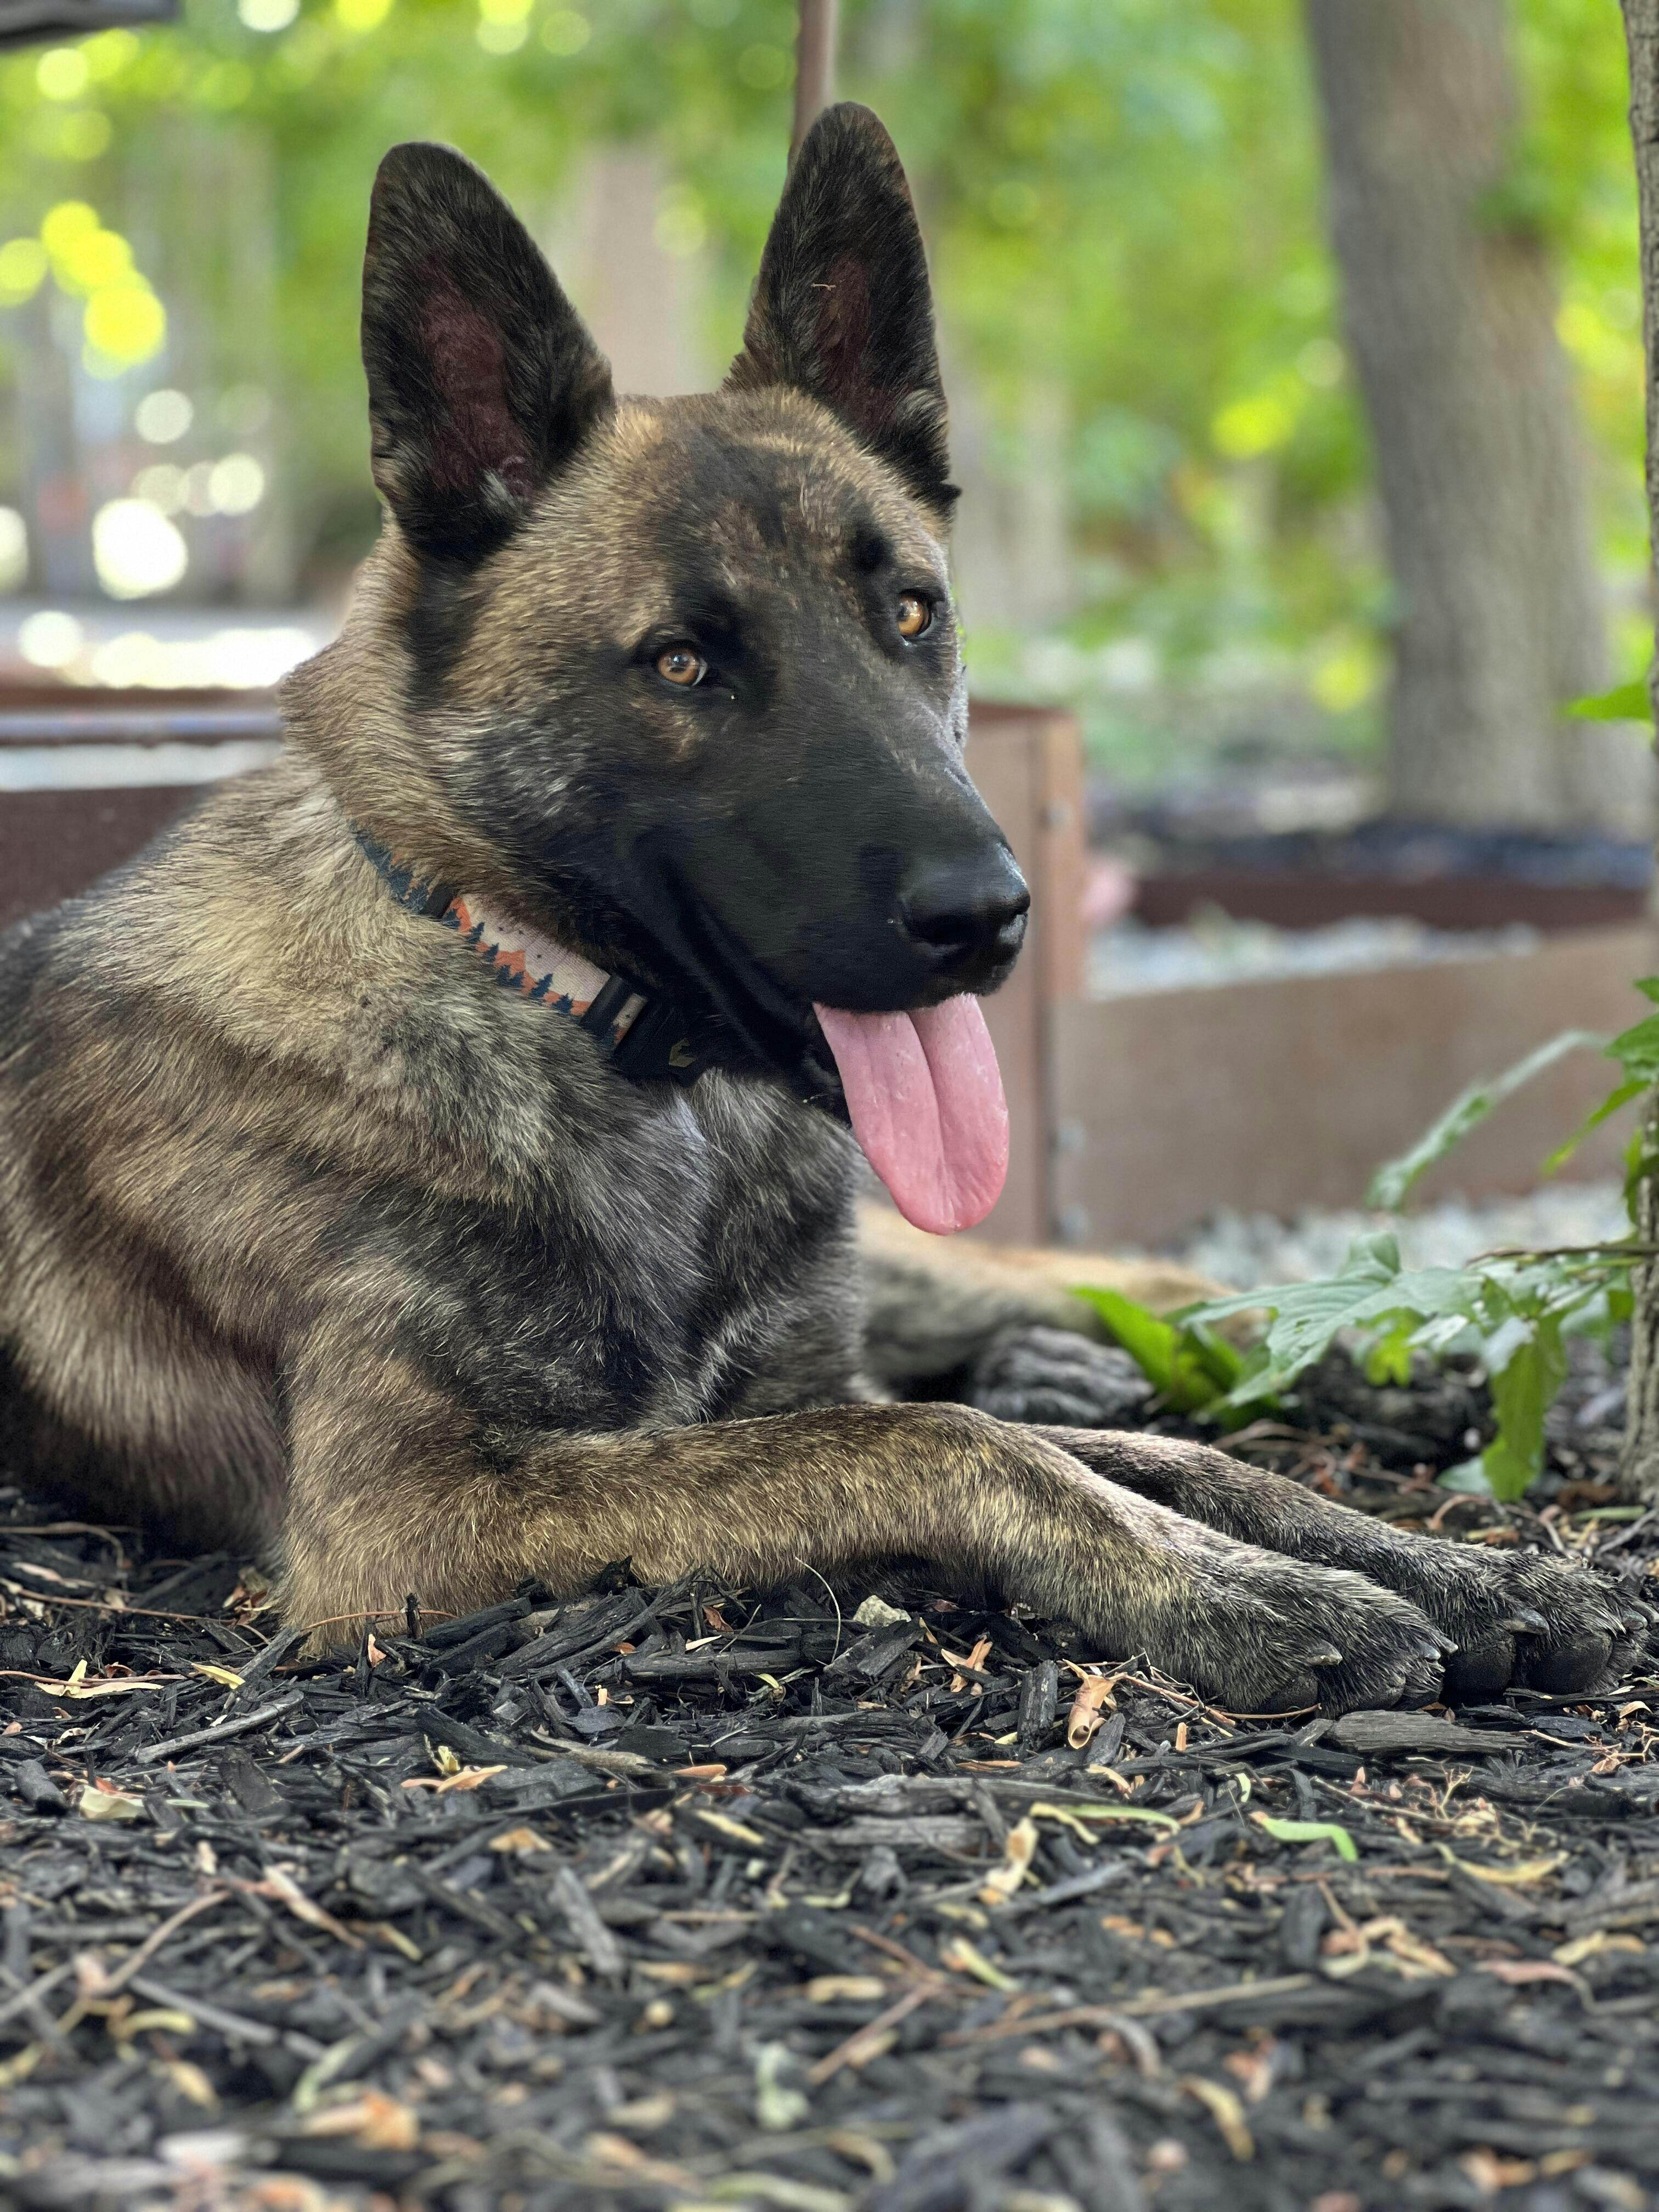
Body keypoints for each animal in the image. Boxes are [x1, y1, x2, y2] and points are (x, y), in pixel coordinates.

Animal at [0, 105, 1625, 1708]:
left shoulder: (770, 1389)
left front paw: (1434, 1561)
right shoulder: (407, 1516)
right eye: (682, 664)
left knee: (1103, 1282)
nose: (987, 918)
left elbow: (1152, 1457)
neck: (542, 998)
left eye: (913, 611)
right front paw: (1253, 1593)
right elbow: (950, 1440)